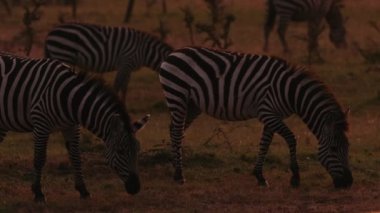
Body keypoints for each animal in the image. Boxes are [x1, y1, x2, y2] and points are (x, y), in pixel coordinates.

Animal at [0, 52, 151, 202]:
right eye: (120, 151)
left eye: (138, 150)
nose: (135, 188)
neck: (68, 99)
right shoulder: (41, 124)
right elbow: (39, 159)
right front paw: (38, 193)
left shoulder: (71, 127)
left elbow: (76, 157)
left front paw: (83, 190)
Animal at [44, 22, 174, 103]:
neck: (143, 50)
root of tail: (50, 33)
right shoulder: (125, 62)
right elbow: (117, 85)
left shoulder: (128, 67)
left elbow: (124, 87)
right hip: (63, 54)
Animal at [158, 46, 354, 188]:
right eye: (334, 149)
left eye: (348, 147)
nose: (348, 183)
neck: (290, 91)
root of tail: (173, 53)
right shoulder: (267, 113)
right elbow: (291, 138)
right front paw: (295, 177)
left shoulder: (271, 115)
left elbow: (265, 144)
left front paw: (259, 176)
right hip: (177, 96)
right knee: (177, 132)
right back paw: (179, 175)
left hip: (192, 105)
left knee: (175, 130)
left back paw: (175, 167)